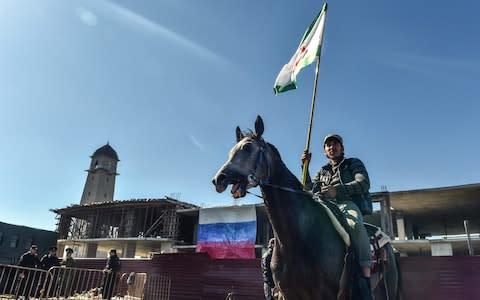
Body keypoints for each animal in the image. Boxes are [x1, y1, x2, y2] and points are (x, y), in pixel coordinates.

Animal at [212, 116, 400, 298]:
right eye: (231, 152)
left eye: (247, 147)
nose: (218, 179)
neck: (297, 239)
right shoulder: (289, 294)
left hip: (387, 287)